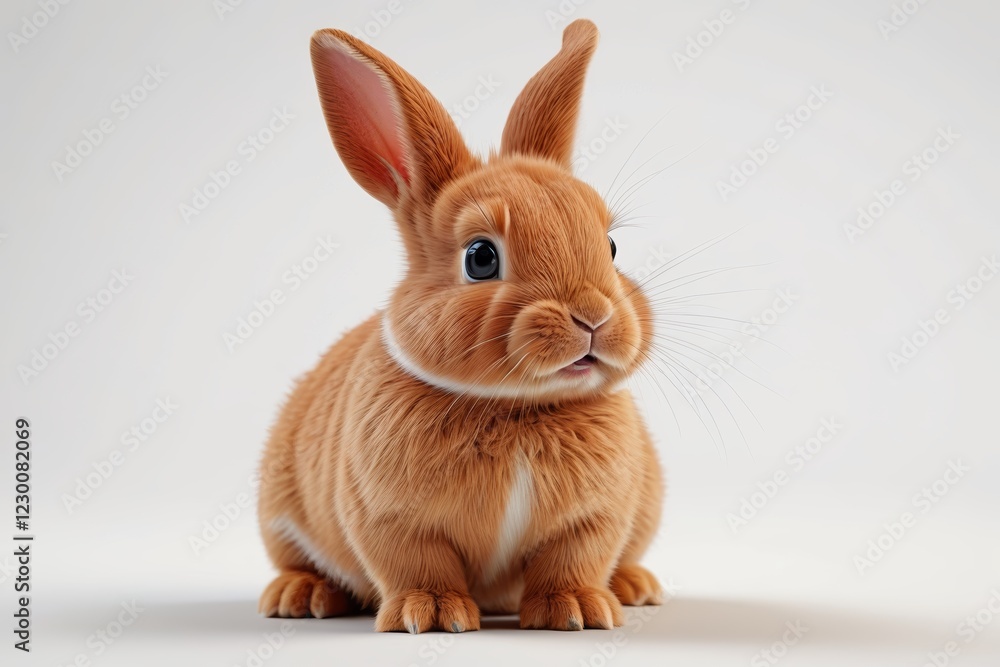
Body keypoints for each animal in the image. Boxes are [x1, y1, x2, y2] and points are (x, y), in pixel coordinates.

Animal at [257, 18, 664, 633]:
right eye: (480, 258)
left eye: (611, 246)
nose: (593, 316)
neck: (516, 408)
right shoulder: (389, 516)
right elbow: (417, 563)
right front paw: (430, 614)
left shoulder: (596, 516)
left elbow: (573, 558)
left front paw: (576, 611)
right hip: (280, 505)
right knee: (296, 559)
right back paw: (299, 597)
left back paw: (635, 586)